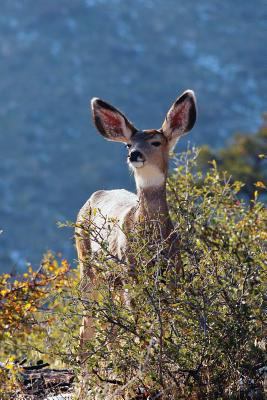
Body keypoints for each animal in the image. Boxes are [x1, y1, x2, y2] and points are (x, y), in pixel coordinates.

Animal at [75, 90, 197, 350]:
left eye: (156, 142)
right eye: (128, 144)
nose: (134, 154)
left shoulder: (173, 273)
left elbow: (165, 326)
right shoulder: (130, 271)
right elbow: (139, 327)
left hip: (113, 281)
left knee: (110, 329)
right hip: (88, 264)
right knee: (87, 325)